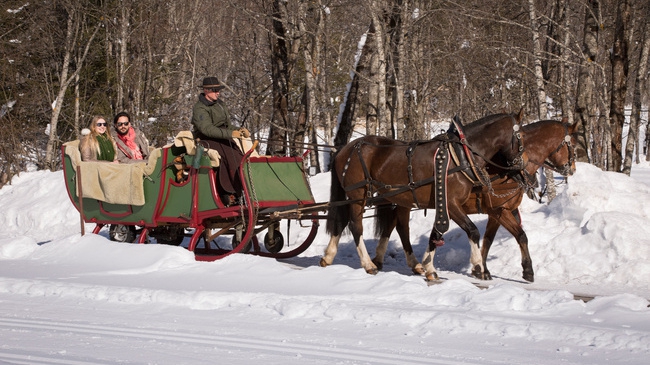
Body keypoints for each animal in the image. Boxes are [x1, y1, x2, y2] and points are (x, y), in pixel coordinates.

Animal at [318, 112, 528, 280]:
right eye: (521, 139)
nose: (523, 170)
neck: (460, 156)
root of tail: (346, 148)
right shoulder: (451, 204)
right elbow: (473, 231)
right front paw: (478, 266)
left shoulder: (445, 206)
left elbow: (436, 234)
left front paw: (429, 268)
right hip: (358, 194)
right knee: (356, 226)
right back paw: (368, 264)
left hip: (394, 198)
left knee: (382, 226)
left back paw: (329, 256)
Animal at [372, 119, 576, 282]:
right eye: (572, 144)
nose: (572, 169)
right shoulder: (497, 210)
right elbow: (513, 236)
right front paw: (519, 270)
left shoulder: (498, 212)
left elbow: (496, 239)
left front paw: (484, 268)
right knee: (400, 227)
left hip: (401, 201)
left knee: (395, 226)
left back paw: (386, 261)